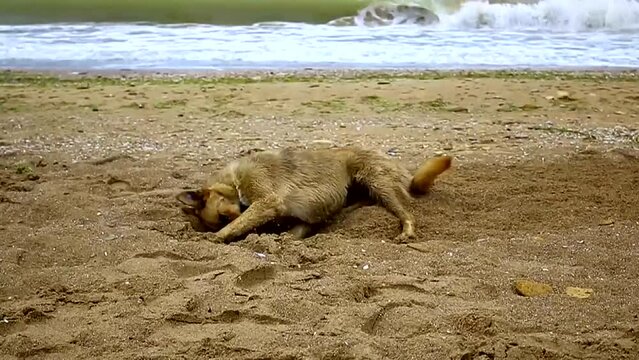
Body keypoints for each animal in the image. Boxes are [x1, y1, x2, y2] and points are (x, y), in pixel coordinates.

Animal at [178, 145, 452, 243]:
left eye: (223, 217)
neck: (234, 180)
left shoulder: (267, 201)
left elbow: (234, 227)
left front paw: (217, 237)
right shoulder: (302, 217)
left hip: (375, 179)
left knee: (407, 214)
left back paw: (407, 230)